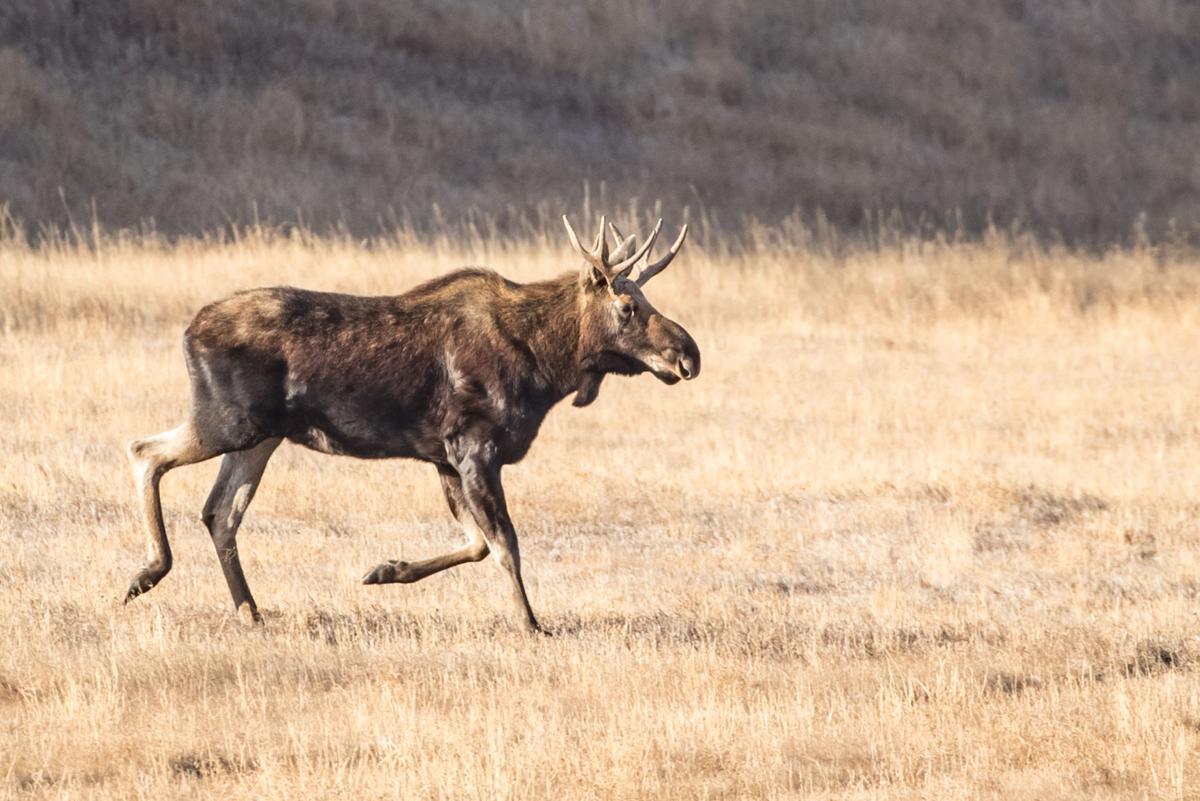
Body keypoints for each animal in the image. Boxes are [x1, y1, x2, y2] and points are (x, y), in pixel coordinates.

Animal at [123, 215, 699, 634]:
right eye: (627, 306)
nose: (688, 354)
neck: (546, 366)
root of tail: (189, 330)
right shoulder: (474, 447)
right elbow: (505, 545)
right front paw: (532, 624)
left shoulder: (443, 457)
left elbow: (477, 543)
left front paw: (386, 570)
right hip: (228, 423)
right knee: (145, 451)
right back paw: (148, 573)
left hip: (261, 437)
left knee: (220, 512)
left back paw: (249, 610)